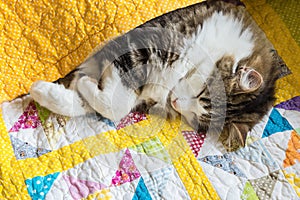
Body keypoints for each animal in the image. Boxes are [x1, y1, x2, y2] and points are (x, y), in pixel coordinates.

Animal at [29, 0, 288, 150]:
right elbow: (111, 97)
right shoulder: (139, 46)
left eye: (197, 118)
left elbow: (104, 103)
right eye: (203, 94)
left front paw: (49, 91)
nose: (175, 103)